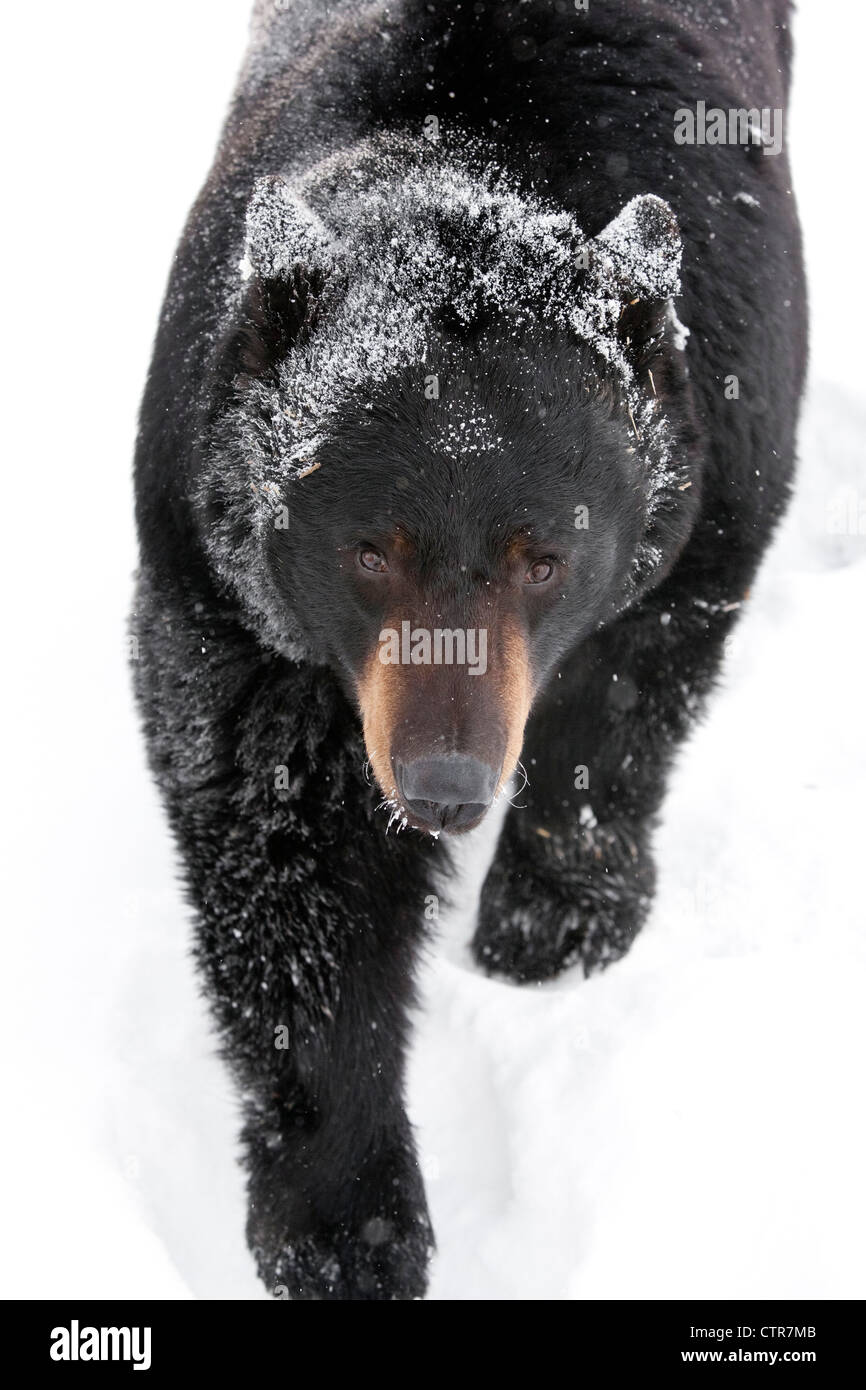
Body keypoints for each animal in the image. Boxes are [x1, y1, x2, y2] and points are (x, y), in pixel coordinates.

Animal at [134, 2, 806, 1301]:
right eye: (366, 549)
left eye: (542, 556)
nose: (444, 783)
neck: (473, 163)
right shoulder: (210, 546)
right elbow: (279, 832)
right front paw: (347, 1222)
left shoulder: (721, 426)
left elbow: (635, 675)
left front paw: (553, 917)